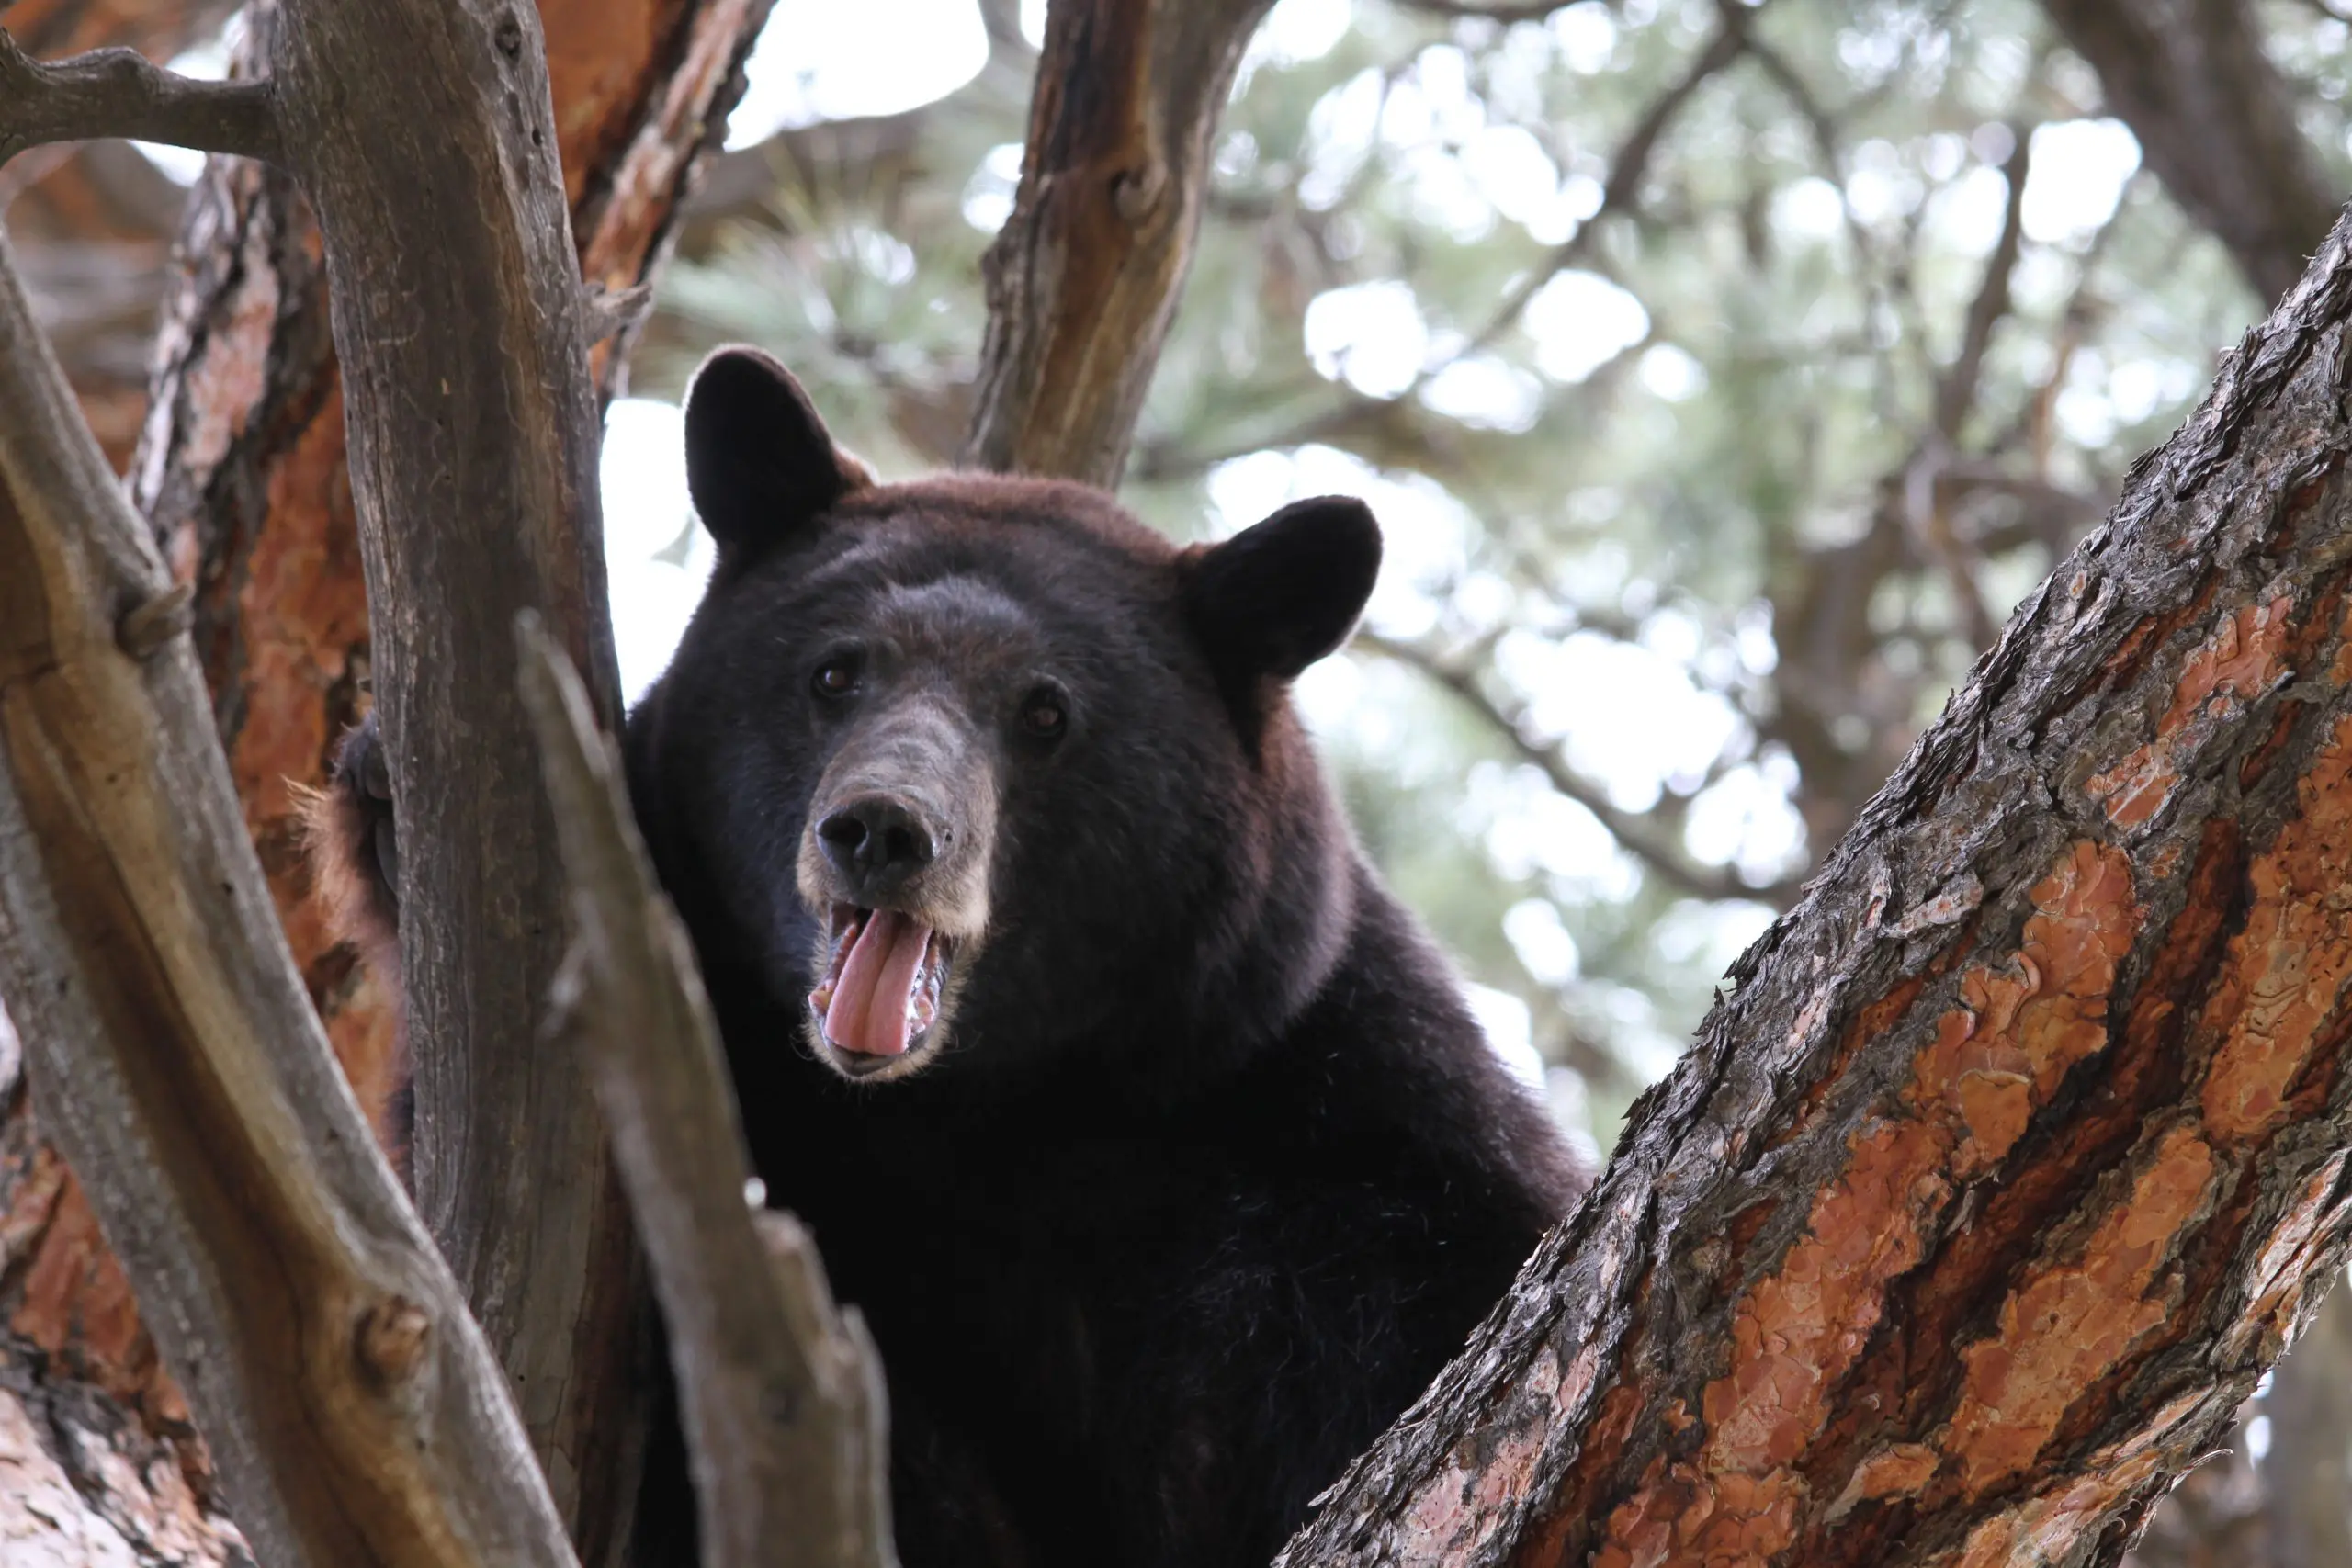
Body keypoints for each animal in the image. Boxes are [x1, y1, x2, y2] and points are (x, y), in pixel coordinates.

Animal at [319, 345, 1583, 1568]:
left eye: (1046, 712)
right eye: (835, 671)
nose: (883, 829)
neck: (979, 1119)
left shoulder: (1342, 1110)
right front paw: (381, 792)